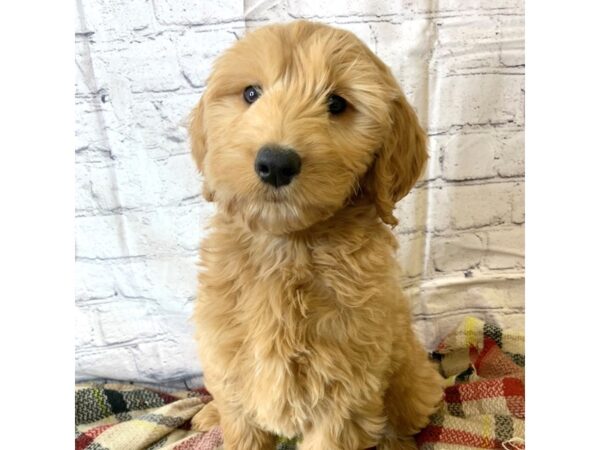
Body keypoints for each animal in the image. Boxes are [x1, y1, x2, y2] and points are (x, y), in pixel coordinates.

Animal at [190, 19, 442, 448]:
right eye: (251, 94)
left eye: (337, 104)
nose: (276, 163)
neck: (287, 247)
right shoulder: (230, 368)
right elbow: (239, 423)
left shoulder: (343, 396)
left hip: (412, 380)